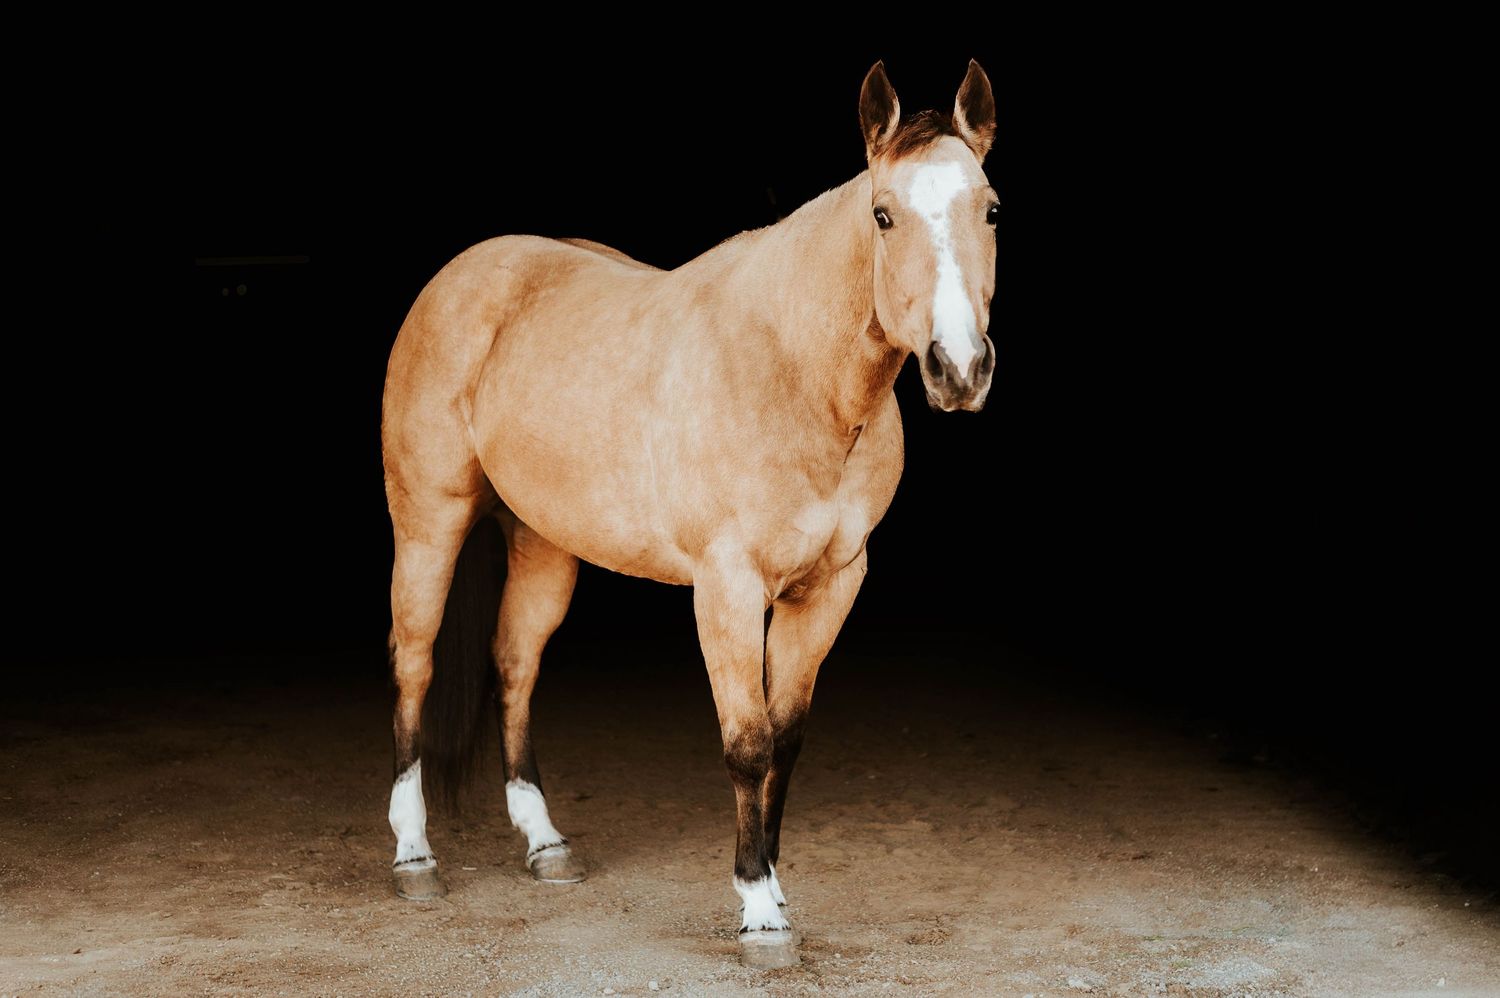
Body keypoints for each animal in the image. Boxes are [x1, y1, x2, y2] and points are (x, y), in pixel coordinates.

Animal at [380, 59, 998, 969]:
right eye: (884, 215)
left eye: (990, 209)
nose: (959, 369)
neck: (796, 374)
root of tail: (461, 275)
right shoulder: (728, 586)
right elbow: (747, 744)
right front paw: (760, 911)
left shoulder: (832, 585)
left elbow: (786, 739)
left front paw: (774, 883)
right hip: (429, 522)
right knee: (415, 664)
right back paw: (414, 855)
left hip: (545, 543)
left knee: (515, 664)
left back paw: (545, 843)